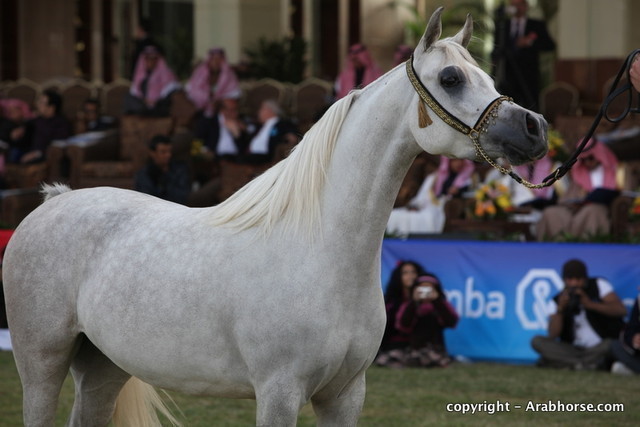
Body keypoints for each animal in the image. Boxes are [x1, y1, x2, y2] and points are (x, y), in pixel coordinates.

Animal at [3, 8, 548, 426]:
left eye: (491, 77)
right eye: (451, 79)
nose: (535, 128)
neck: (322, 252)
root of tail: (53, 201)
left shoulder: (345, 395)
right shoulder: (279, 392)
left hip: (103, 367)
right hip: (41, 363)